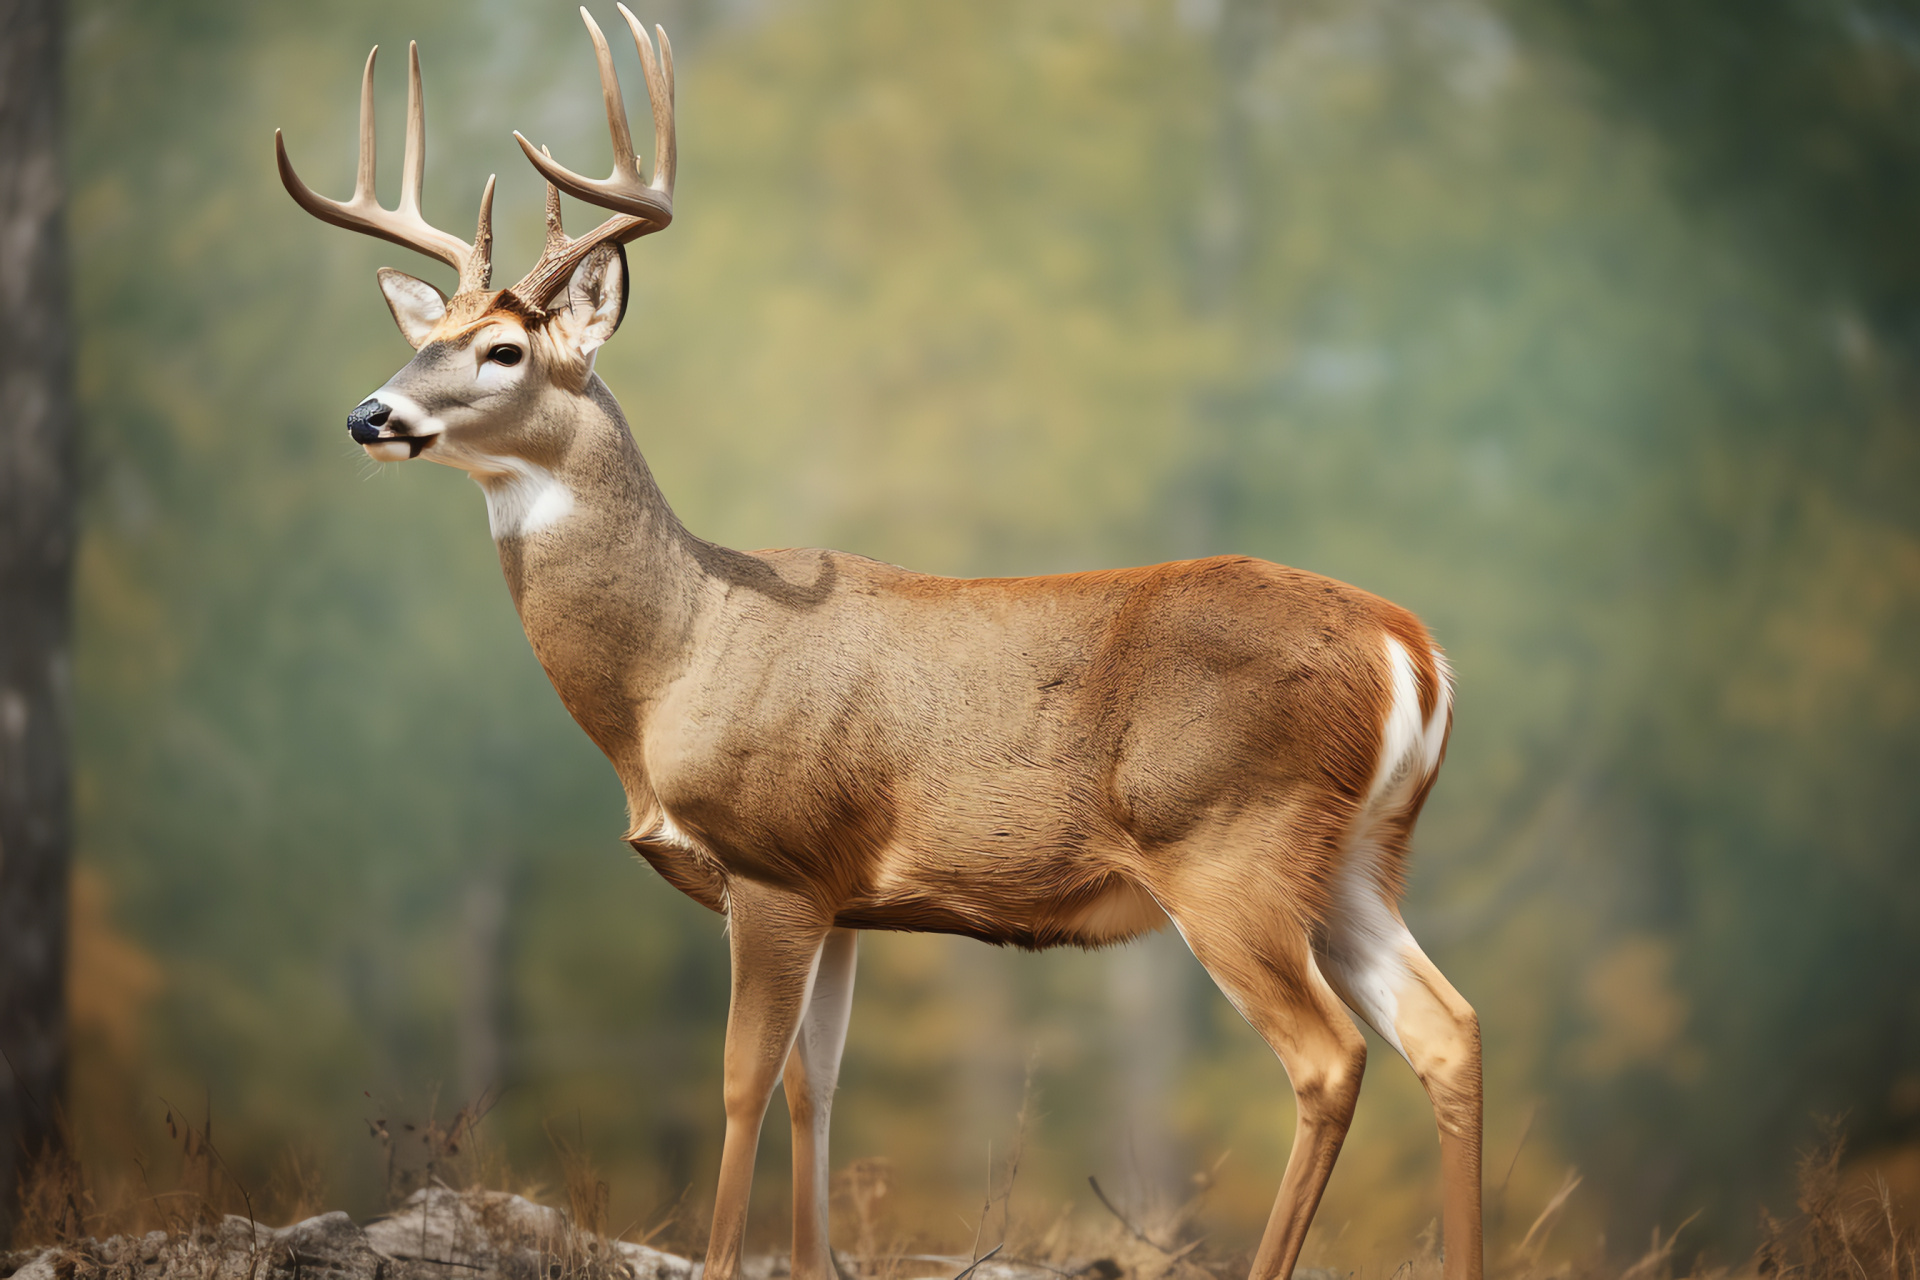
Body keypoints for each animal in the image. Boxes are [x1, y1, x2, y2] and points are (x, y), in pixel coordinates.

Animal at [278, 10, 1482, 1280]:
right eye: (429, 337)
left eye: (505, 350)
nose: (369, 414)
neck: (673, 663)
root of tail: (1410, 647)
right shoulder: (843, 895)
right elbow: (818, 1087)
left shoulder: (770, 858)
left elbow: (742, 1082)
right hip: (1355, 855)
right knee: (1448, 1027)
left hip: (1228, 845)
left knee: (1332, 1054)